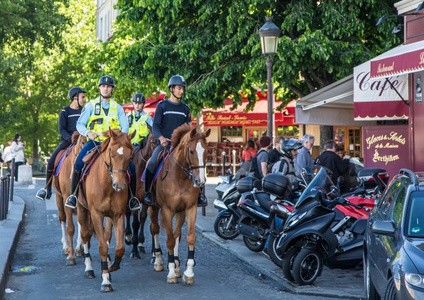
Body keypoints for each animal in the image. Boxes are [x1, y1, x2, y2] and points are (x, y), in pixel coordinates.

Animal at [77, 127, 135, 292]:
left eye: (130, 155)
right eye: (112, 153)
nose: (119, 185)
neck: (107, 185)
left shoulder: (118, 215)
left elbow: (119, 247)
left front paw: (112, 266)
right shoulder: (96, 214)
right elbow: (102, 247)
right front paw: (105, 281)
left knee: (106, 234)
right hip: (82, 210)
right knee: (85, 235)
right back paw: (89, 269)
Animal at [149, 123, 210, 284]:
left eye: (207, 151)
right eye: (191, 151)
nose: (200, 181)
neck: (180, 177)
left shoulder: (189, 208)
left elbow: (189, 237)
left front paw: (188, 273)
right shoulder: (167, 210)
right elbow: (170, 240)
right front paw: (170, 273)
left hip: (180, 212)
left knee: (177, 234)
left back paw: (176, 265)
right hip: (152, 207)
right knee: (155, 229)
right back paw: (158, 261)